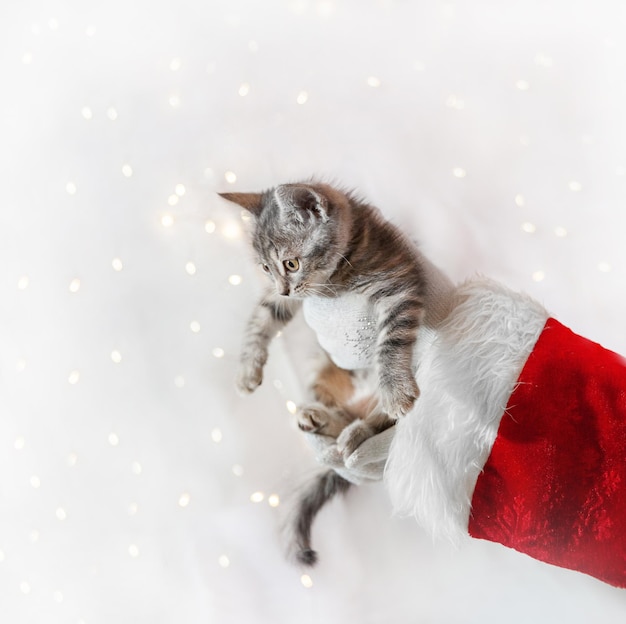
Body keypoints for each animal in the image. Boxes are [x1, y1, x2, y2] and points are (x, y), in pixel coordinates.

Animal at [217, 182, 426, 564]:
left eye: (291, 263)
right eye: (266, 268)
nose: (283, 287)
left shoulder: (399, 281)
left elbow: (392, 337)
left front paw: (394, 389)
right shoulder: (287, 300)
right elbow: (262, 316)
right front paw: (247, 370)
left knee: (381, 421)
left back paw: (357, 434)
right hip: (322, 365)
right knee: (341, 413)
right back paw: (321, 422)